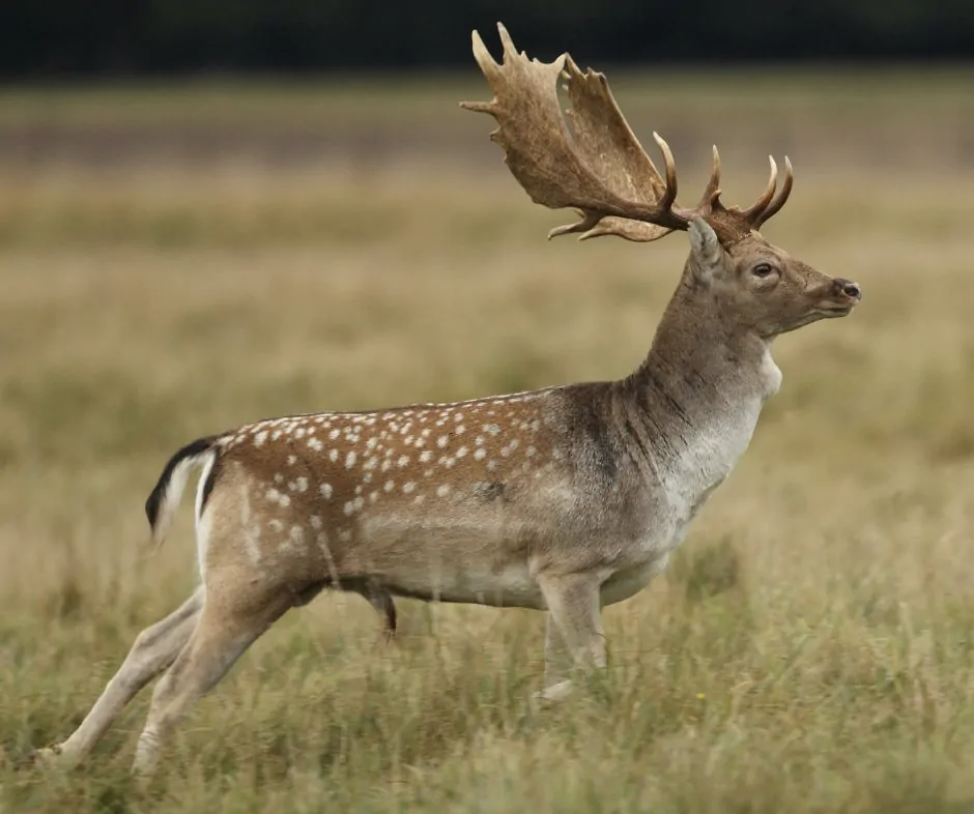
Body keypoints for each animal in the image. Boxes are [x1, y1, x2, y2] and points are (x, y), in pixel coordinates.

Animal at [31, 23, 861, 774]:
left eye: (784, 249)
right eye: (761, 268)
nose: (846, 286)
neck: (657, 461)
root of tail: (218, 448)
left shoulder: (566, 582)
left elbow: (575, 678)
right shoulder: (569, 561)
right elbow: (591, 676)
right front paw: (521, 716)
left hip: (236, 571)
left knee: (146, 642)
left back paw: (59, 756)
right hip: (256, 571)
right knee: (175, 686)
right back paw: (137, 776)